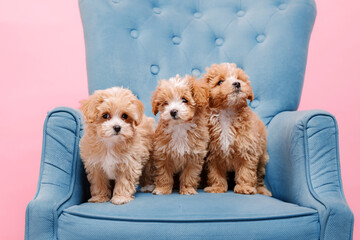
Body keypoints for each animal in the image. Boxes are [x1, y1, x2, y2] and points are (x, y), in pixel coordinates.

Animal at [204, 63, 272, 197]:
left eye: (239, 78)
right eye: (220, 82)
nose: (237, 83)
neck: (227, 112)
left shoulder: (247, 149)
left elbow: (246, 171)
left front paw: (244, 187)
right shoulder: (213, 153)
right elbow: (215, 172)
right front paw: (217, 187)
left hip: (262, 158)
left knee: (259, 177)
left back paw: (262, 190)